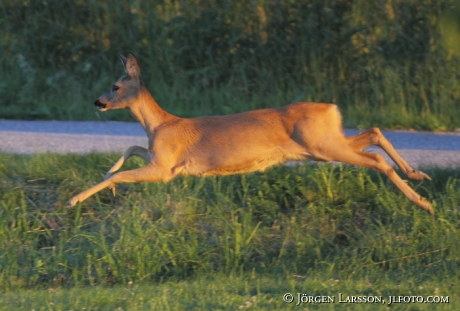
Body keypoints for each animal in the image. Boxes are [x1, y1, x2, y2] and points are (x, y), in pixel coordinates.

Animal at [65, 53, 434, 214]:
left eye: (115, 86)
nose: (97, 102)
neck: (161, 125)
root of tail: (332, 108)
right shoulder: (160, 157)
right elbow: (130, 147)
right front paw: (106, 172)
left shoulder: (166, 168)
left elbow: (123, 169)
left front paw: (75, 199)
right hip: (324, 143)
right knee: (373, 133)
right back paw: (419, 174)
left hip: (323, 146)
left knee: (375, 159)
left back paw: (424, 203)